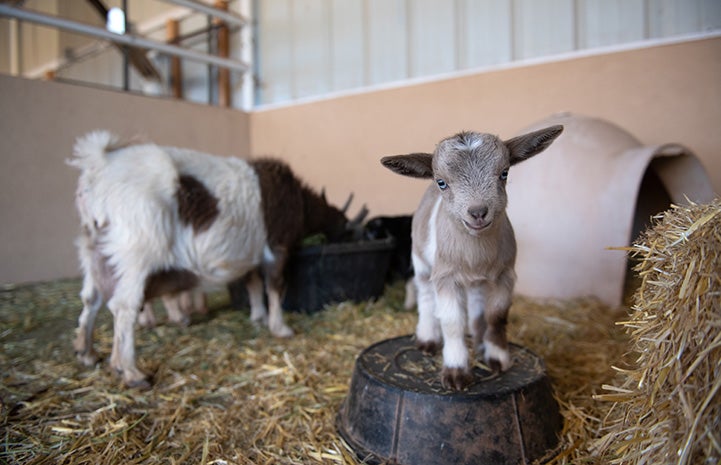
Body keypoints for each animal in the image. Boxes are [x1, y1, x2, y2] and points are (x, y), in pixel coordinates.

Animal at [69, 131, 356, 388]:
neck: (299, 201)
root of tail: (98, 166)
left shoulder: (251, 253)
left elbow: (252, 283)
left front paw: (258, 317)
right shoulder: (278, 246)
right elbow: (275, 285)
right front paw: (280, 327)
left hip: (94, 249)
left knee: (91, 298)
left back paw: (87, 352)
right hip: (135, 251)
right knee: (124, 306)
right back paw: (130, 371)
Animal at [382, 125, 564, 390]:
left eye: (504, 173)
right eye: (442, 182)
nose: (478, 212)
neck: (475, 254)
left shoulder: (505, 275)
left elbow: (497, 315)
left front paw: (497, 357)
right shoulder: (446, 276)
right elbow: (452, 322)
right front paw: (456, 371)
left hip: (477, 281)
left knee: (478, 308)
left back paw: (479, 341)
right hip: (421, 260)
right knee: (425, 294)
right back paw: (427, 338)